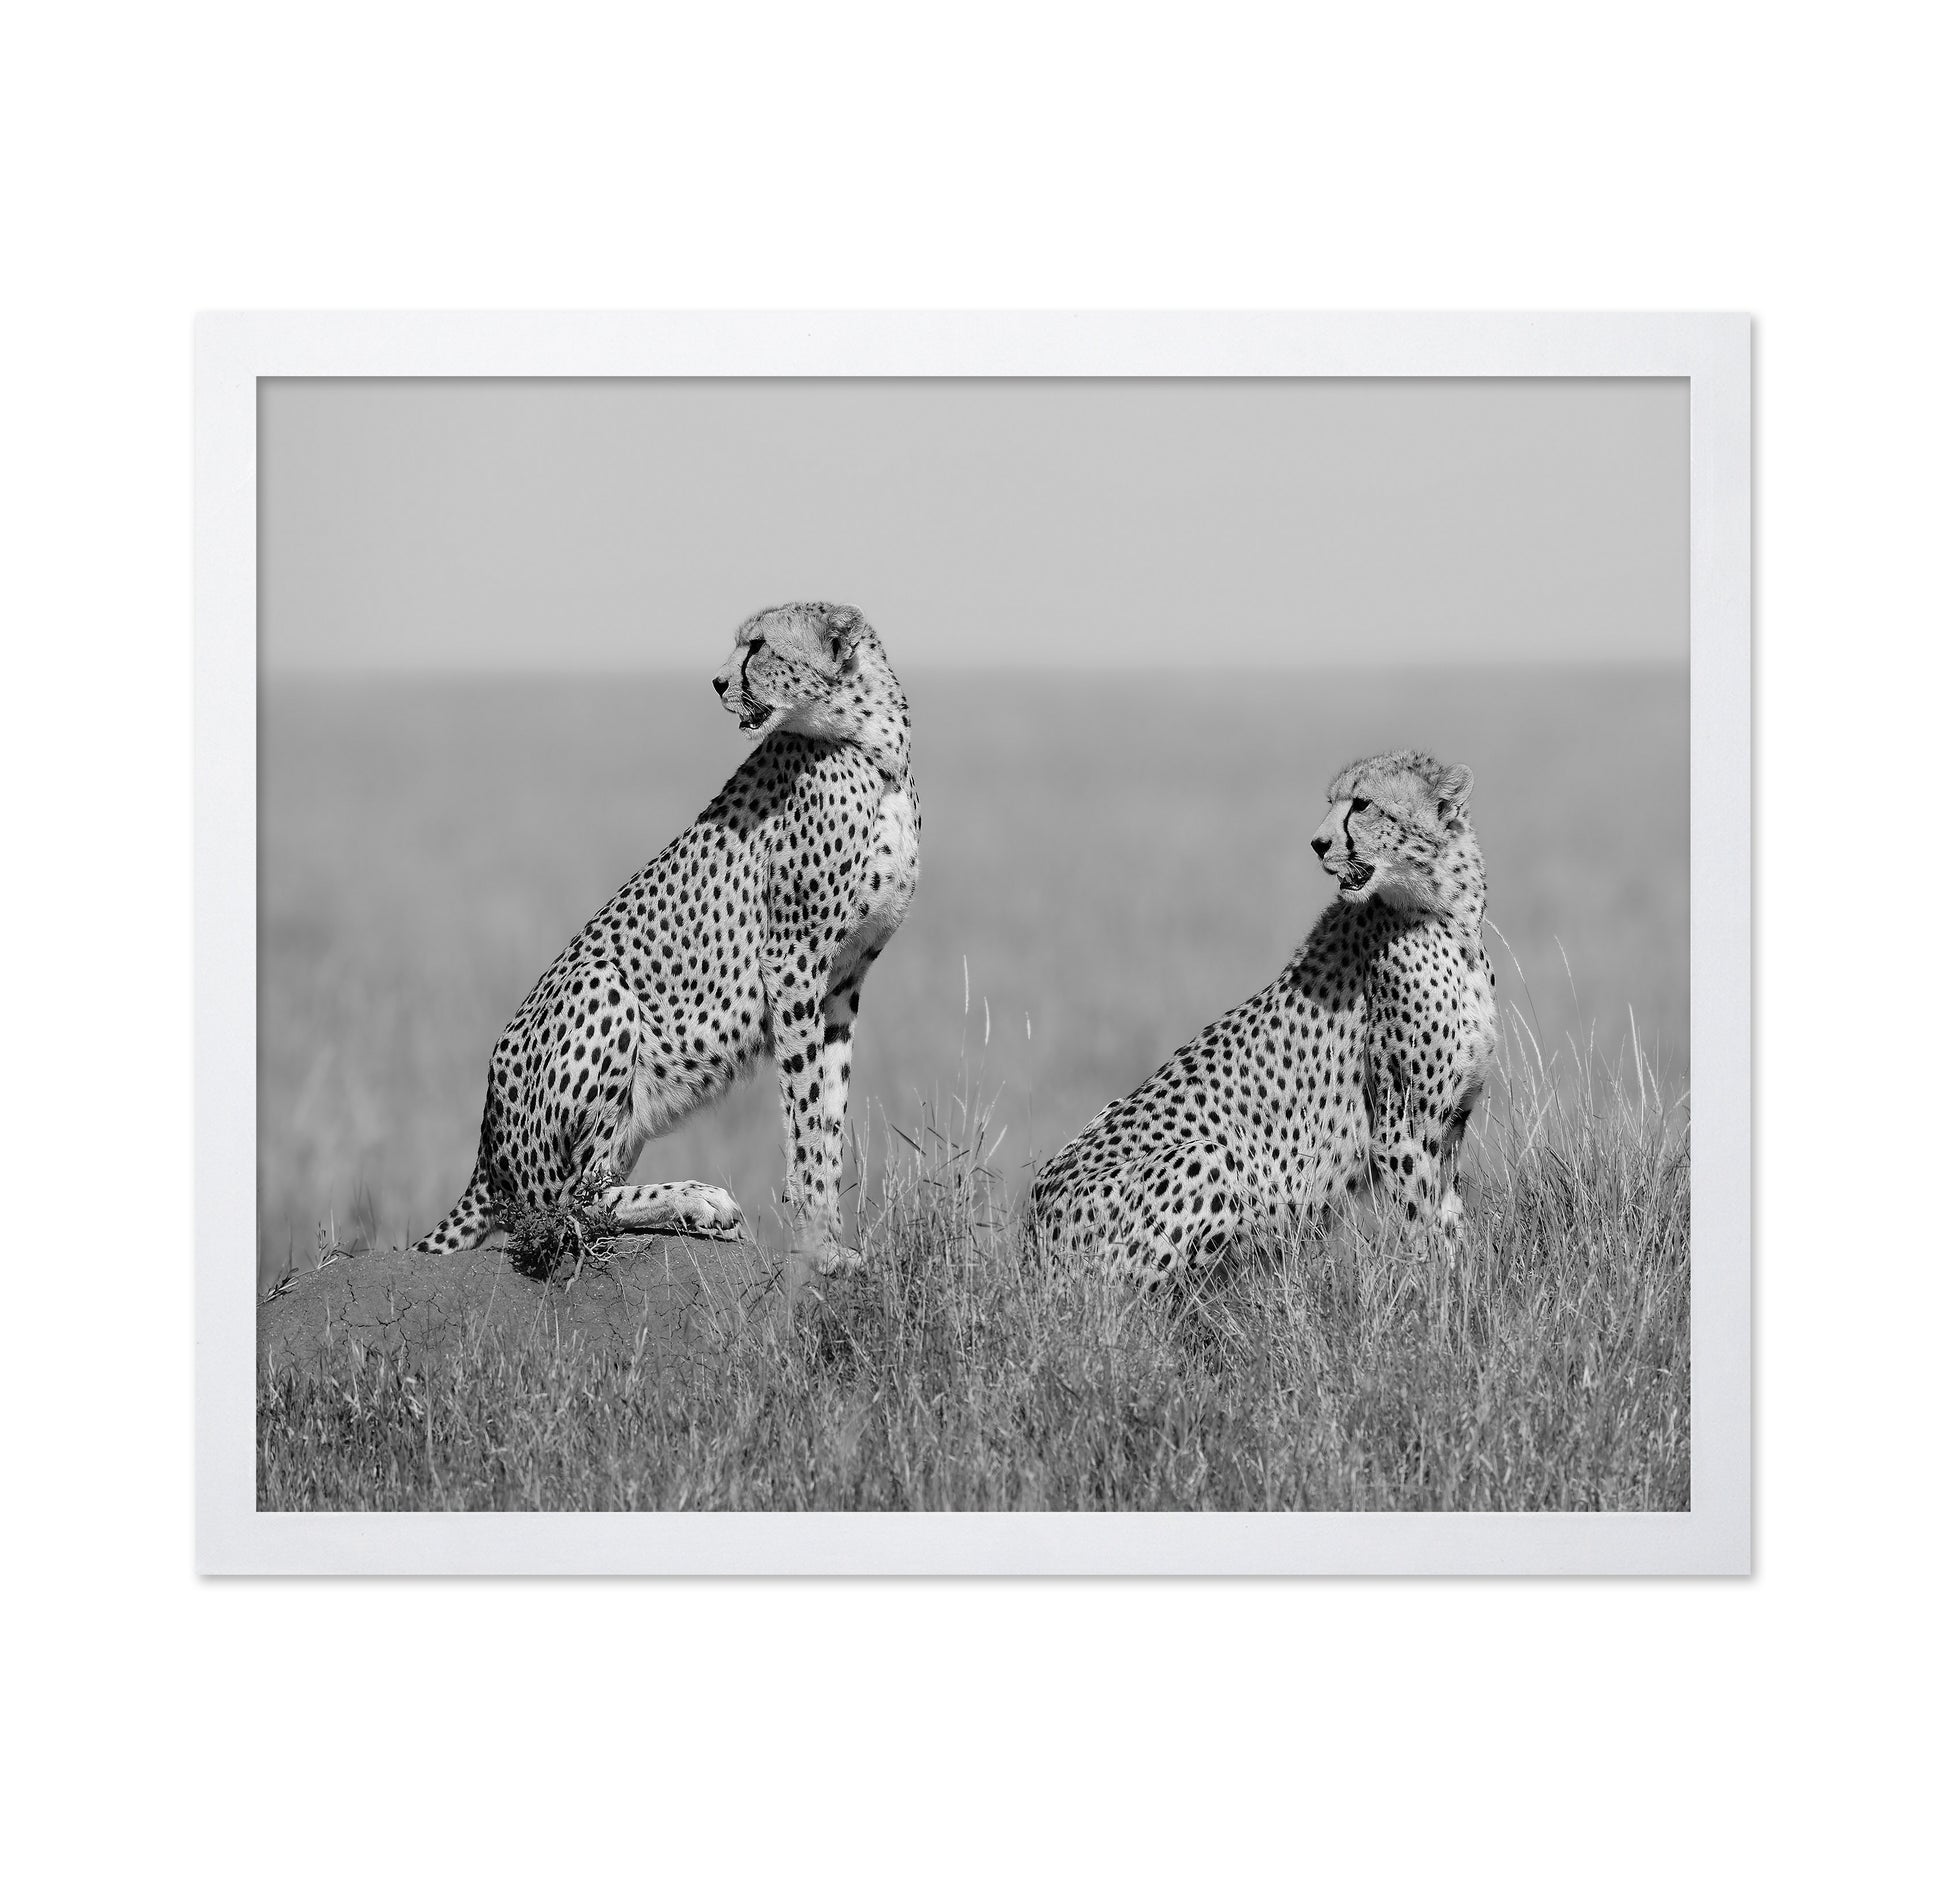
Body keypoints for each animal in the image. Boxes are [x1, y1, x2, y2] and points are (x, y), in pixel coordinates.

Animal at [412, 602, 920, 1296]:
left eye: (759, 646)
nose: (717, 682)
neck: (872, 743)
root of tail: (486, 1146)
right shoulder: (793, 962)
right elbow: (805, 1115)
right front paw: (819, 1247)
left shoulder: (842, 983)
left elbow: (828, 1112)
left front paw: (832, 1243)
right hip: (600, 985)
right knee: (566, 1205)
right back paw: (699, 1200)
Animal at [1027, 749, 1496, 1287]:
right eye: (1332, 803)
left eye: (1362, 804)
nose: (1318, 843)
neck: (1448, 914)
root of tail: (1030, 1238)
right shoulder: (1403, 1128)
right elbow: (1424, 1227)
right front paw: (1436, 1292)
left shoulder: (1451, 1123)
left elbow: (1449, 1217)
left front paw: (1462, 1286)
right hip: (1203, 1159)